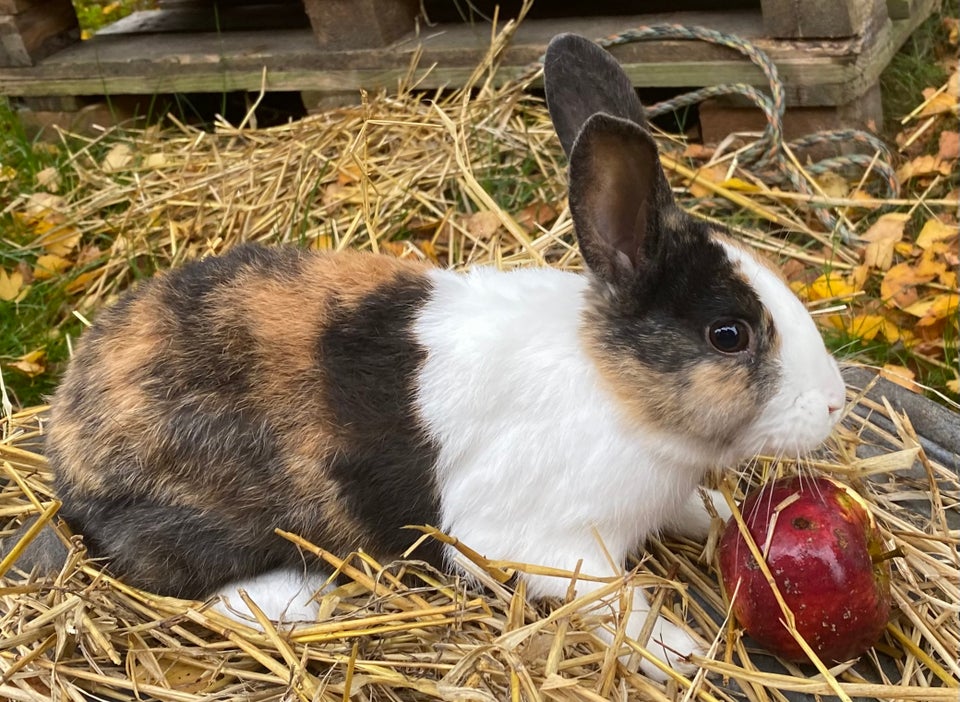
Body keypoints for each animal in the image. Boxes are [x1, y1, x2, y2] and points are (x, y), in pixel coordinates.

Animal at [13, 33, 848, 680]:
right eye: (728, 335)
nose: (837, 403)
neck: (618, 390)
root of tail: (66, 444)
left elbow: (695, 513)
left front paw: (725, 521)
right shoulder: (548, 547)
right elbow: (618, 603)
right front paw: (679, 652)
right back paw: (292, 598)